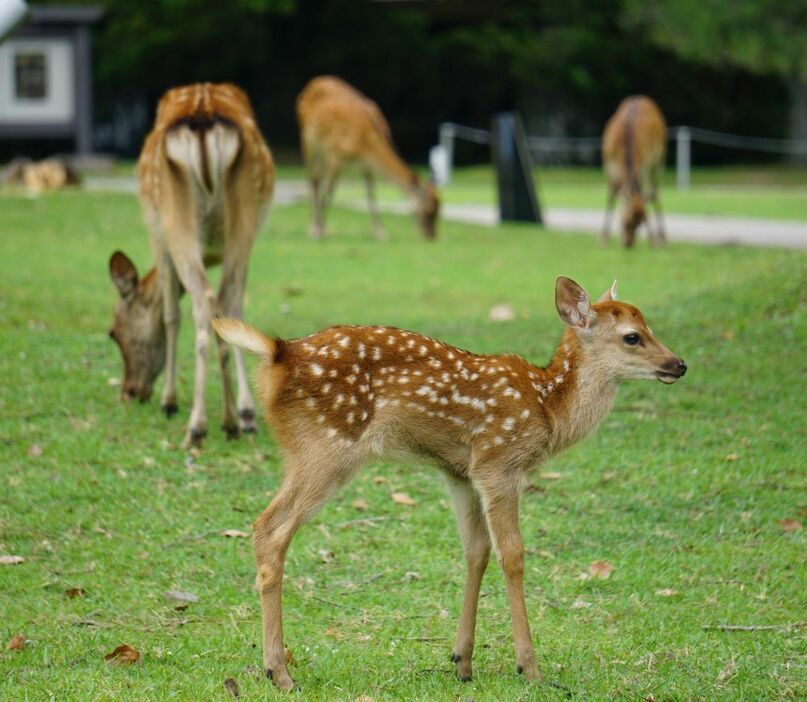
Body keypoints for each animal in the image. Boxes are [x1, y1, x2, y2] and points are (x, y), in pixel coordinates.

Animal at [109, 80, 276, 448]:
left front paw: (168, 400)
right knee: (222, 301)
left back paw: (198, 425)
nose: (129, 391)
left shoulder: (158, 238)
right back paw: (233, 420)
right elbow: (236, 310)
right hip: (243, 221)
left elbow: (170, 316)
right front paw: (247, 412)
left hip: (175, 218)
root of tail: (202, 115)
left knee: (202, 302)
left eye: (113, 332)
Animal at [213, 278, 688, 692]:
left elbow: (475, 552)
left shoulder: (459, 472)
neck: (548, 409)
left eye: (648, 327)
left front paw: (462, 661)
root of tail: (278, 351)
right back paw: (280, 672)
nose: (679, 364)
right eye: (632, 337)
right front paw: (530, 667)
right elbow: (513, 555)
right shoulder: (500, 462)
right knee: (270, 528)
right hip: (327, 446)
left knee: (264, 526)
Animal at [296, 76, 438, 242]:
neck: (366, 143)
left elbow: (371, 194)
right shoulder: (337, 155)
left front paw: (380, 232)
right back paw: (312, 226)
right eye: (429, 210)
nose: (432, 236)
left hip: (322, 153)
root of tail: (312, 83)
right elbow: (330, 192)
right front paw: (316, 231)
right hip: (307, 140)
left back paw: (323, 227)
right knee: (313, 180)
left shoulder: (366, 165)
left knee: (318, 180)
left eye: (439, 208)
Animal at [600, 95, 668, 250]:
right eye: (625, 221)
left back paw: (662, 238)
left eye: (640, 223)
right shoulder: (608, 165)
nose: (628, 244)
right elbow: (611, 196)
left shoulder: (643, 165)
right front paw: (604, 239)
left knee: (655, 192)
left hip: (659, 160)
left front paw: (652, 240)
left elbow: (643, 197)